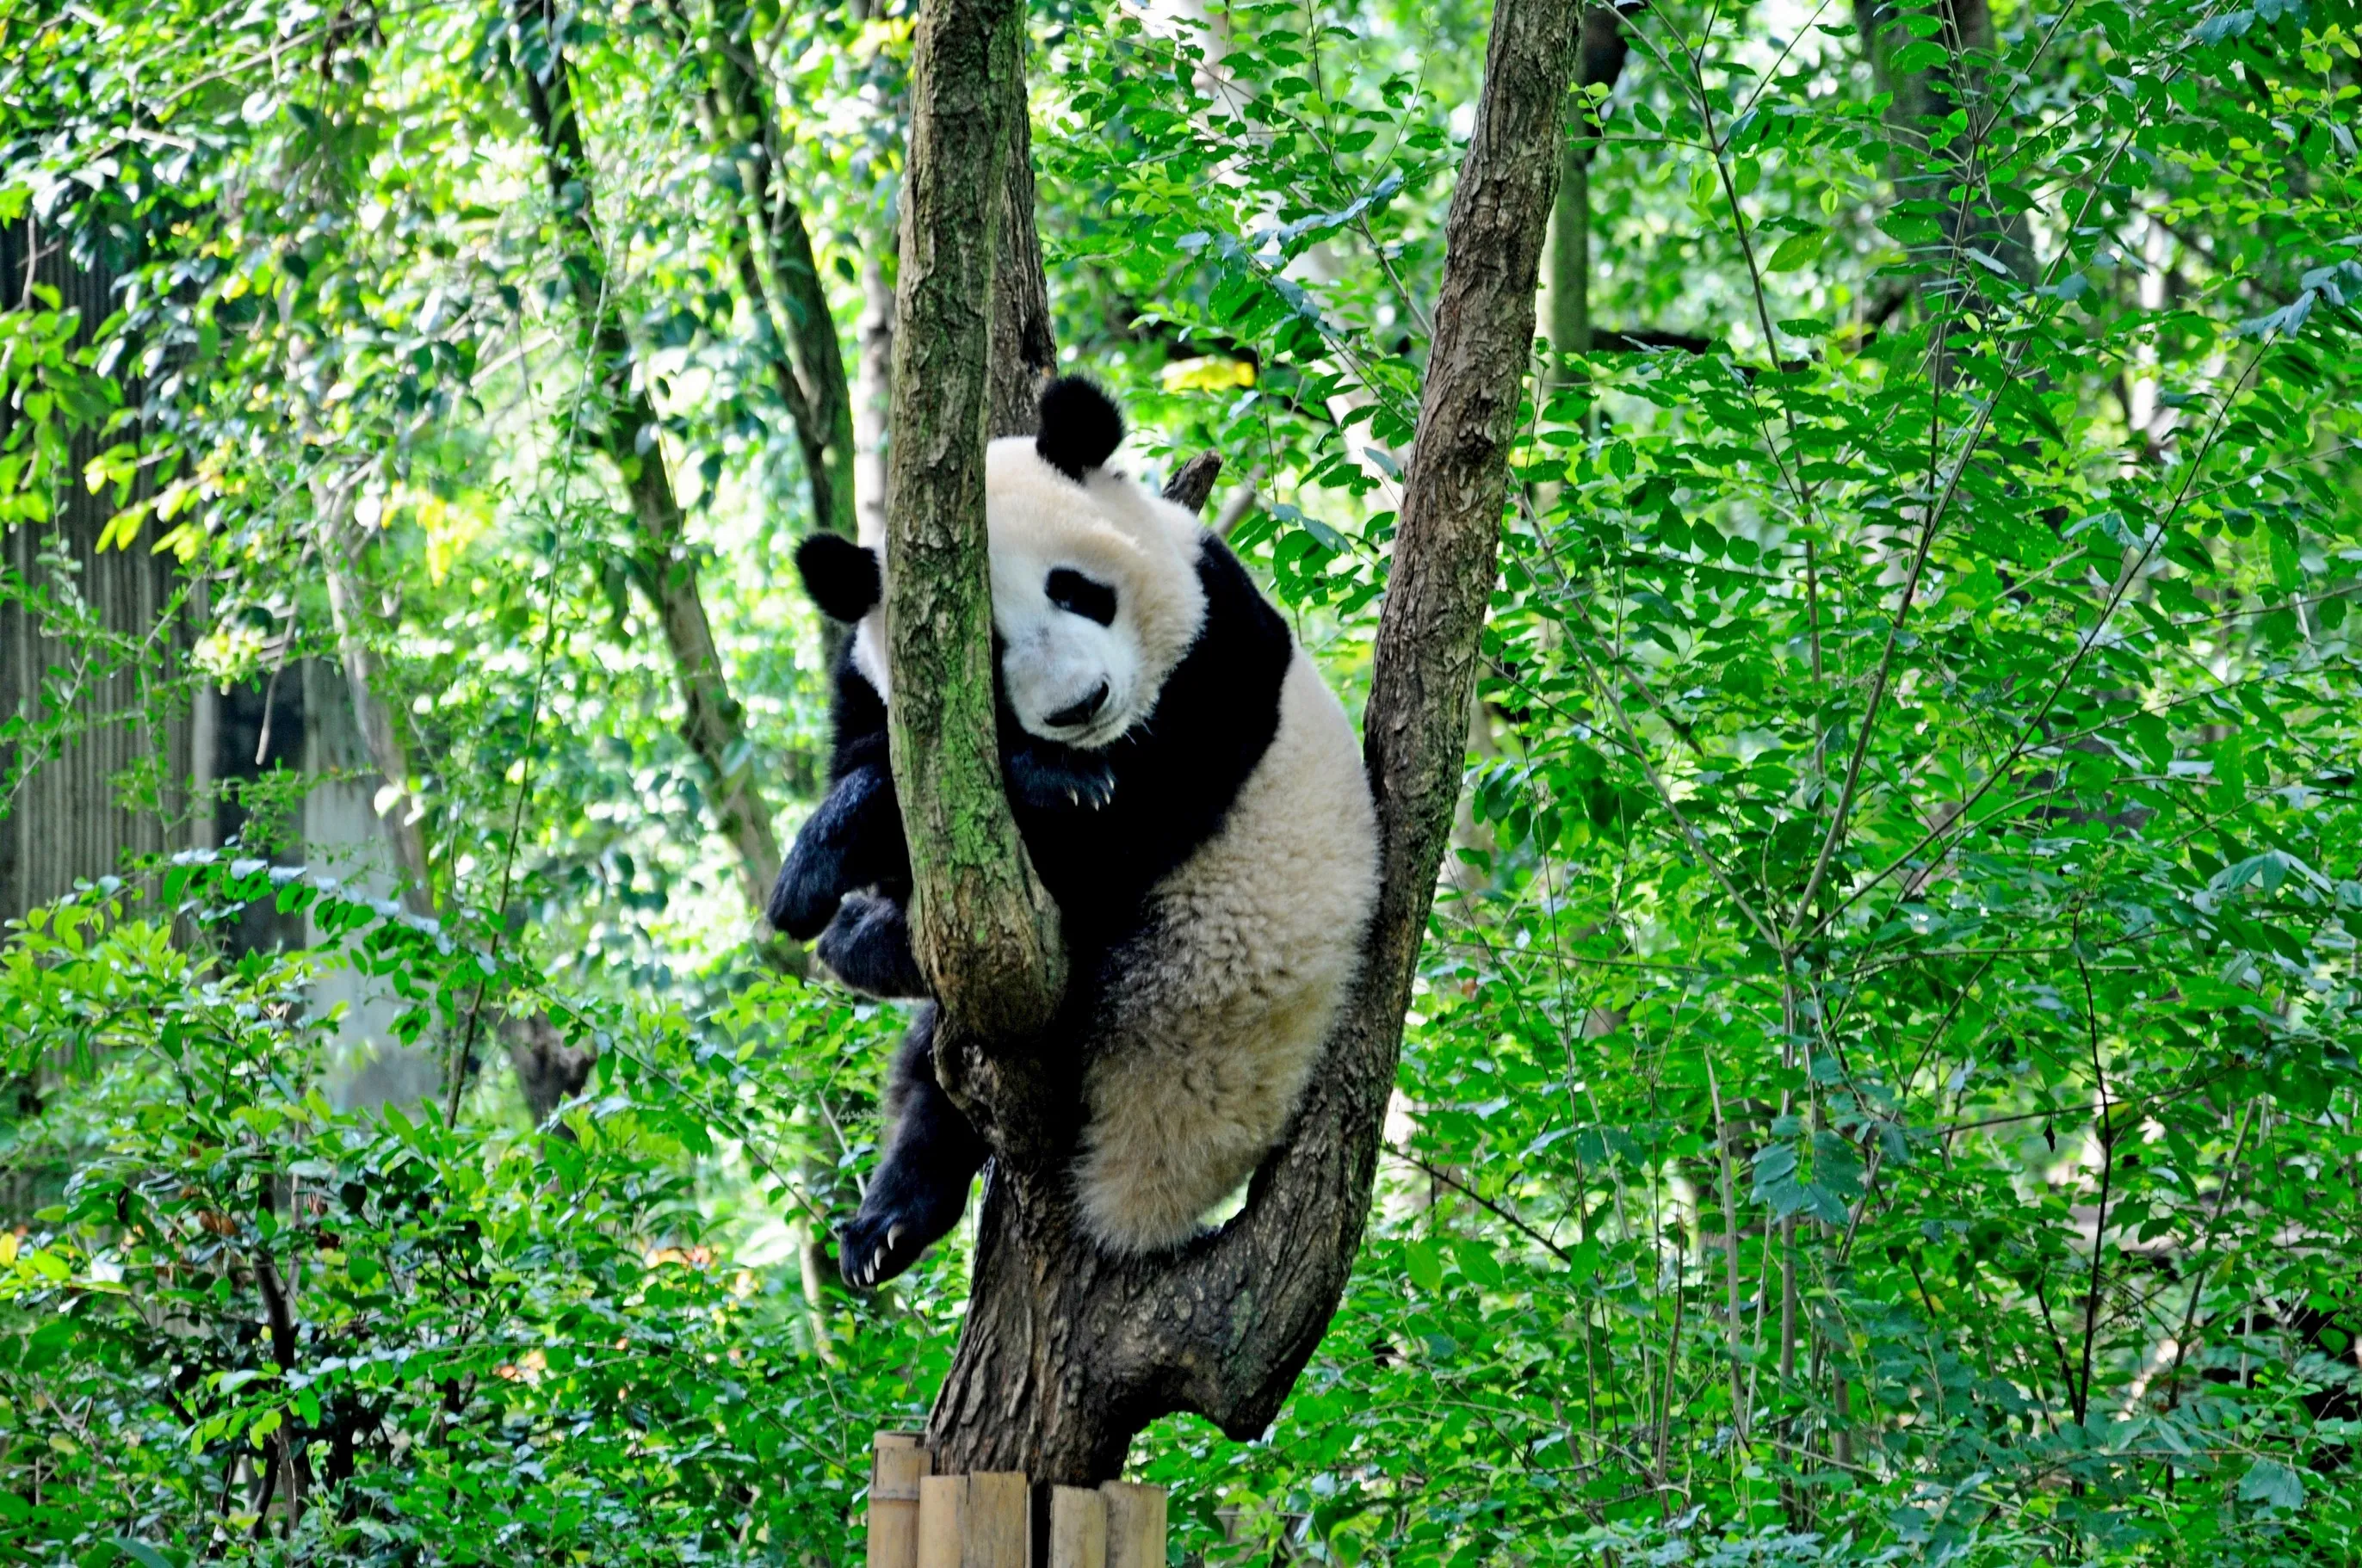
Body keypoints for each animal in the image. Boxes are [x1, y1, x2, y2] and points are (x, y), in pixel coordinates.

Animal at [765, 378, 1379, 1284]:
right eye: (984, 649)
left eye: (1076, 589)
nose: (1079, 706)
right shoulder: (869, 690)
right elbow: (874, 774)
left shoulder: (1224, 647)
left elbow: (1138, 811)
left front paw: (1055, 785)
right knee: (932, 1078)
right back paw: (886, 1225)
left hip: (1176, 962)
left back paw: (866, 948)